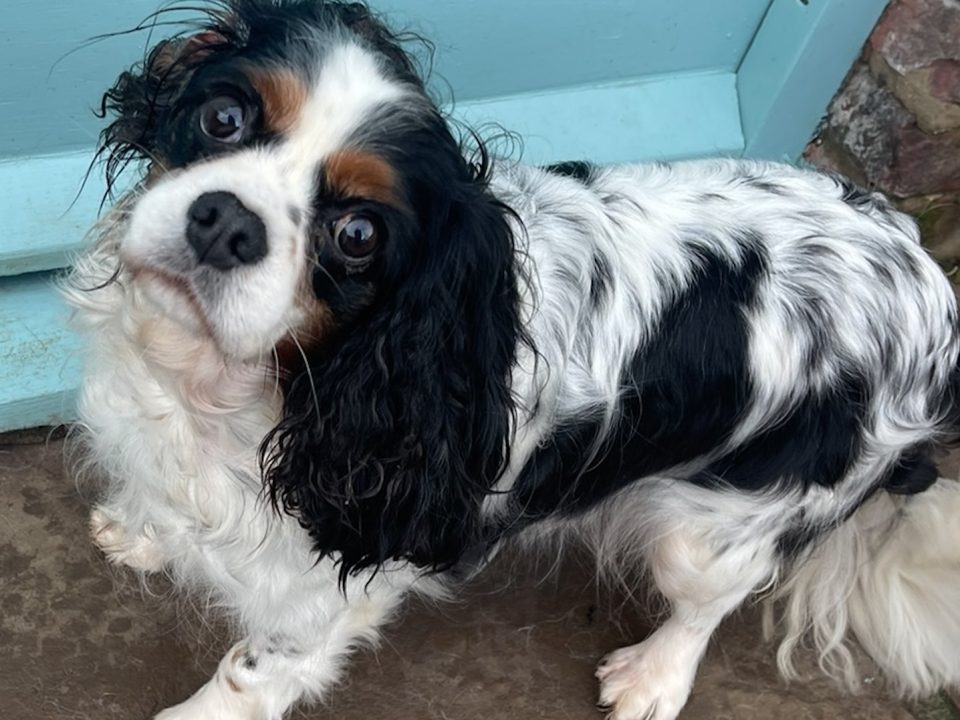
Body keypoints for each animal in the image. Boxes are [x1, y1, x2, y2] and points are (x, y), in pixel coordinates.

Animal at [63, 1, 960, 720]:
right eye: (222, 117)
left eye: (358, 235)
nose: (226, 221)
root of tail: (925, 271)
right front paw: (144, 531)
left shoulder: (317, 594)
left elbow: (249, 675)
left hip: (721, 527)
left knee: (714, 600)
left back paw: (654, 676)